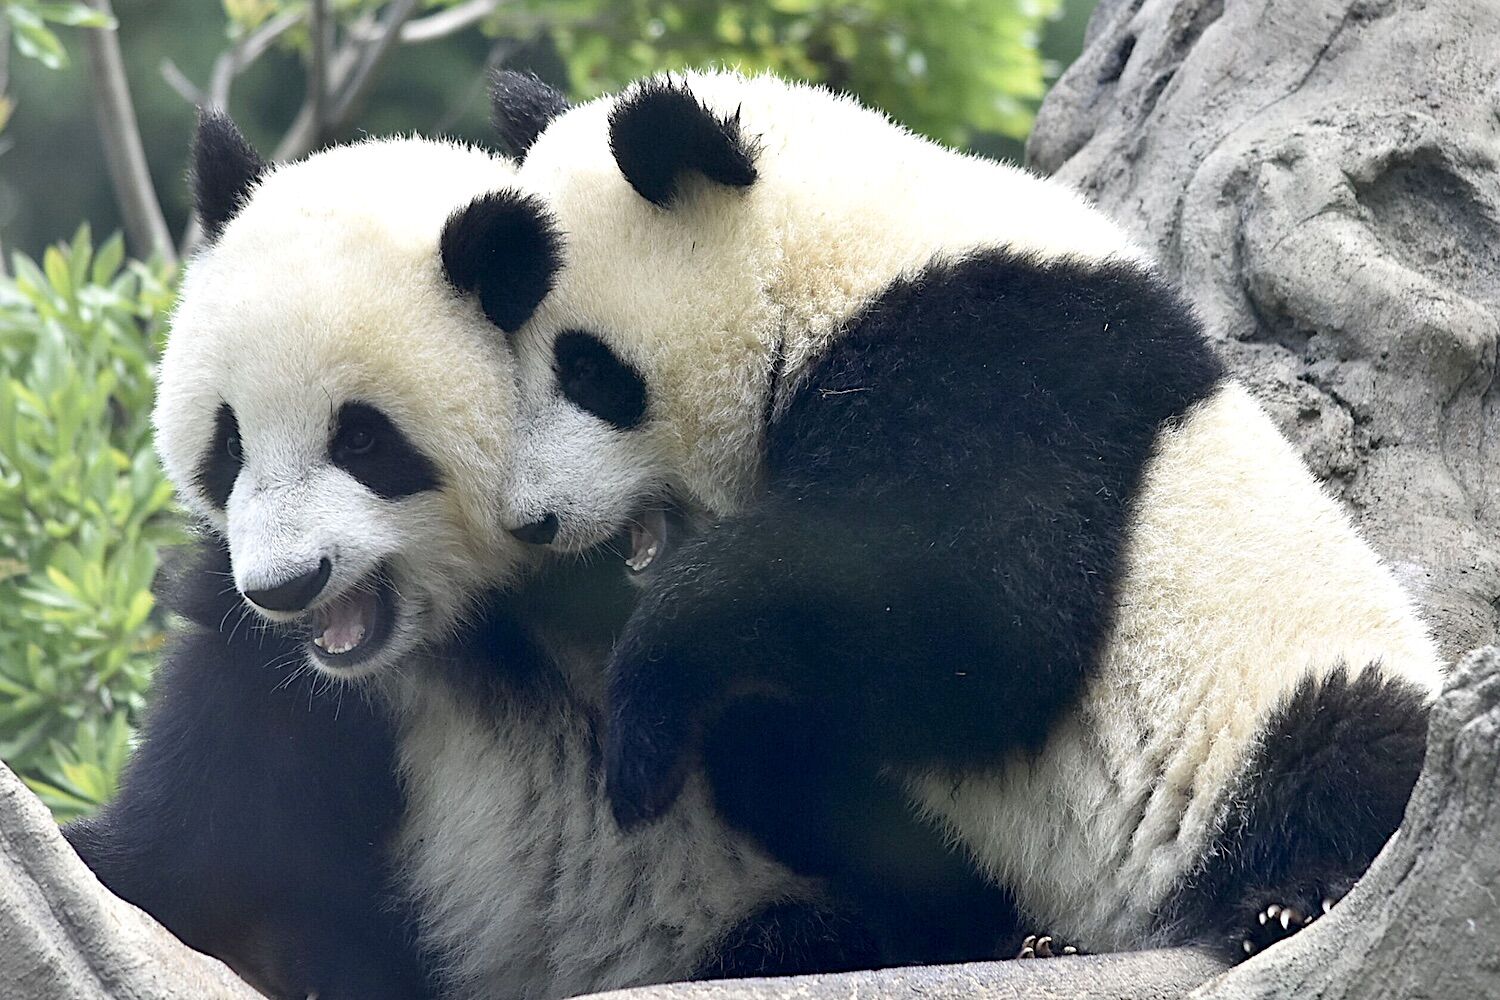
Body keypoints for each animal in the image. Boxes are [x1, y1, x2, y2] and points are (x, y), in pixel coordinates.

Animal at [68, 112, 880, 1000]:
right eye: (229, 442)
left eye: (362, 439)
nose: (286, 587)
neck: (470, 620)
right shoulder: (277, 672)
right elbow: (201, 824)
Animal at [482, 69, 1445, 962]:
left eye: (586, 369)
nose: (530, 520)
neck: (833, 254)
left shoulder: (1009, 359)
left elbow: (988, 625)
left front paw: (643, 724)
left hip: (1289, 689)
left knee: (1346, 750)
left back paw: (1292, 900)